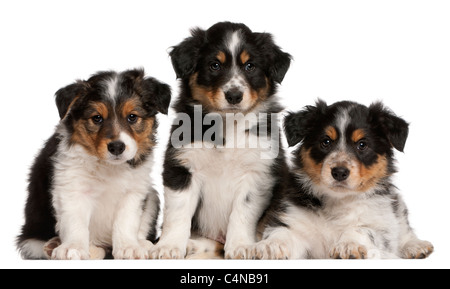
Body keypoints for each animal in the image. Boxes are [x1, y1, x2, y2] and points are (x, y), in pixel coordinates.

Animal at [16, 69, 171, 258]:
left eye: (132, 117)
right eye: (97, 118)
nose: (117, 147)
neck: (108, 166)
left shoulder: (134, 191)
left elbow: (126, 221)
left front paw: (129, 247)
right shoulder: (71, 187)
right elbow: (76, 222)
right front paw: (73, 247)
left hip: (153, 197)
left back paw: (142, 244)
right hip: (32, 239)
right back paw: (57, 245)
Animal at [151, 21, 292, 258]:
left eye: (250, 66)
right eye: (214, 65)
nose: (234, 95)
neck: (228, 125)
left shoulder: (257, 171)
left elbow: (242, 212)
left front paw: (241, 246)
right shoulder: (182, 167)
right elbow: (178, 213)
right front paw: (169, 246)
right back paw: (192, 245)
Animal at [251, 100, 434, 258]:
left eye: (362, 145)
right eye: (325, 142)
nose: (339, 172)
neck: (337, 201)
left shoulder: (381, 227)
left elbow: (362, 230)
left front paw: (349, 244)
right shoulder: (294, 221)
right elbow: (282, 232)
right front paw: (270, 245)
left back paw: (416, 246)